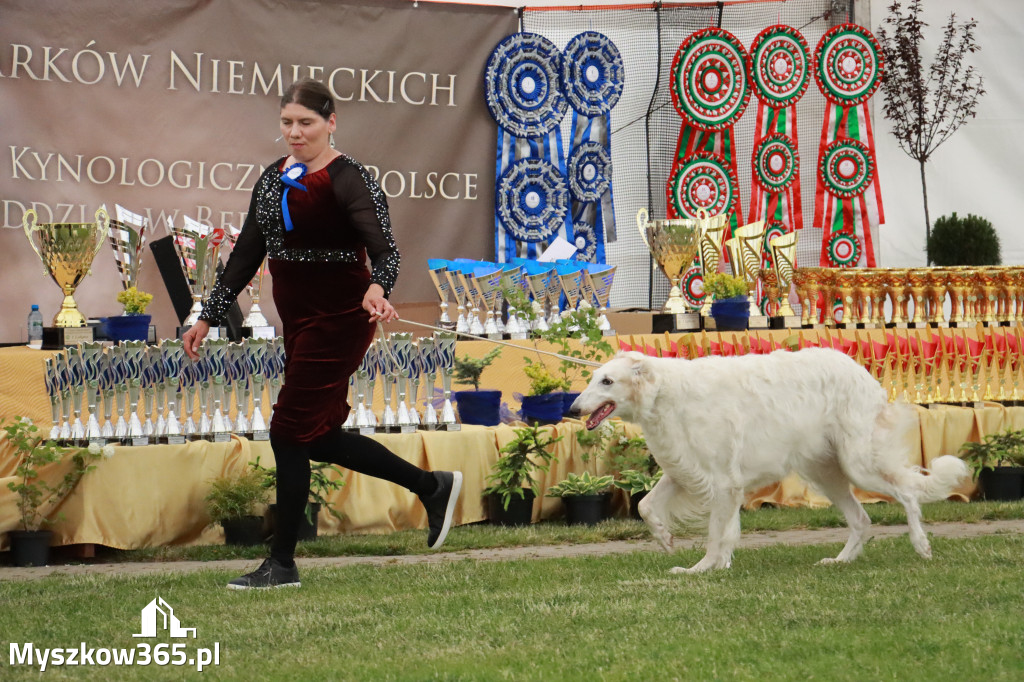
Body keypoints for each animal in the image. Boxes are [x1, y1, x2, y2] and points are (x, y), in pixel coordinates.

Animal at [573, 348, 970, 569]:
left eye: (607, 381)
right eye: (593, 378)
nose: (573, 408)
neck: (665, 392)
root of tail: (861, 371)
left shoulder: (724, 482)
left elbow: (716, 535)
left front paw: (702, 568)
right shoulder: (684, 470)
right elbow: (646, 506)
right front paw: (666, 539)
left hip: (859, 464)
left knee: (908, 493)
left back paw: (921, 545)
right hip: (825, 472)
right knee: (862, 519)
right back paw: (839, 562)